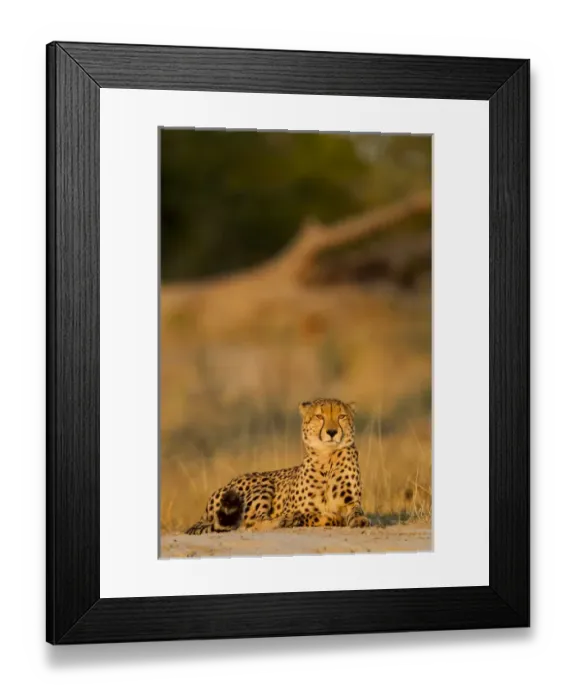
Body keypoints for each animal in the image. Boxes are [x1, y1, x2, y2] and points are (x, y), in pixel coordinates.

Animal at [185, 398, 370, 534]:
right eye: (319, 417)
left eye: (341, 417)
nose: (332, 432)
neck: (327, 458)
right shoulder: (296, 508)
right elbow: (310, 514)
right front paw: (297, 519)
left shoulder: (351, 502)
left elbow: (356, 512)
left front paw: (360, 520)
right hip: (262, 484)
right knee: (249, 522)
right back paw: (282, 521)